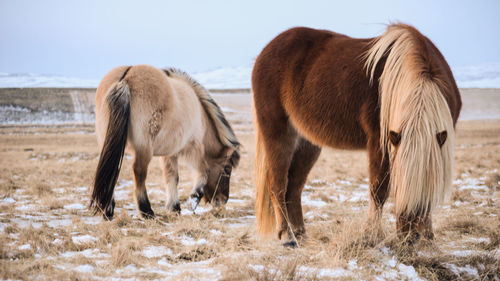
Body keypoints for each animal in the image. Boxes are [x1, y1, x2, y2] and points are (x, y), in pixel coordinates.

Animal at [90, 64, 240, 219]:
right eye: (227, 169)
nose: (222, 200)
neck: (201, 116)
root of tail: (125, 78)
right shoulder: (192, 147)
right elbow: (203, 172)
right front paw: (192, 201)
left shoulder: (170, 152)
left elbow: (172, 176)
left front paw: (174, 207)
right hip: (144, 148)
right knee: (138, 172)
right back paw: (146, 211)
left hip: (109, 143)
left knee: (110, 171)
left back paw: (108, 211)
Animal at [254, 24, 460, 247]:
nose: (410, 238)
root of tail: (267, 50)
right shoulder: (379, 143)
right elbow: (378, 191)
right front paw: (371, 234)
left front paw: (430, 237)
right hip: (278, 133)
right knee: (278, 184)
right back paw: (287, 236)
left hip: (307, 143)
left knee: (294, 187)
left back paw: (301, 234)